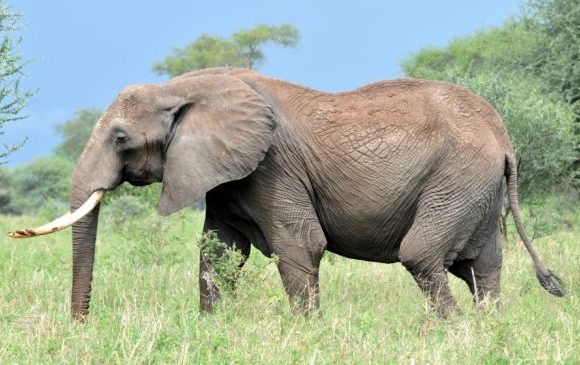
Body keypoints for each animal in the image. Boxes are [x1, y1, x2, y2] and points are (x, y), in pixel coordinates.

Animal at [6, 67, 564, 318]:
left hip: (458, 178)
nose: (81, 324)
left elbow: (299, 246)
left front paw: (307, 331)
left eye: (121, 138)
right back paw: (487, 328)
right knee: (482, 265)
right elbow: (218, 252)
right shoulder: (227, 174)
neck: (184, 88)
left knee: (424, 254)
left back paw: (448, 332)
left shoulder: (274, 167)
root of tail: (504, 137)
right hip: (476, 187)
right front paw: (212, 328)